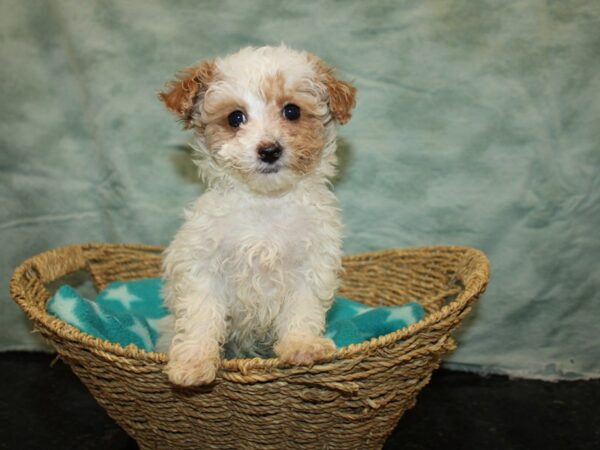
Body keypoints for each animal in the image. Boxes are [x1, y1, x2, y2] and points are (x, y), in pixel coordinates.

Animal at [157, 45, 358, 384]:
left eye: (292, 111)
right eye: (235, 117)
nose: (269, 150)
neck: (266, 203)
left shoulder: (311, 266)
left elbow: (302, 309)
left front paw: (302, 346)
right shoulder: (202, 266)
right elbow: (201, 314)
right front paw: (193, 362)